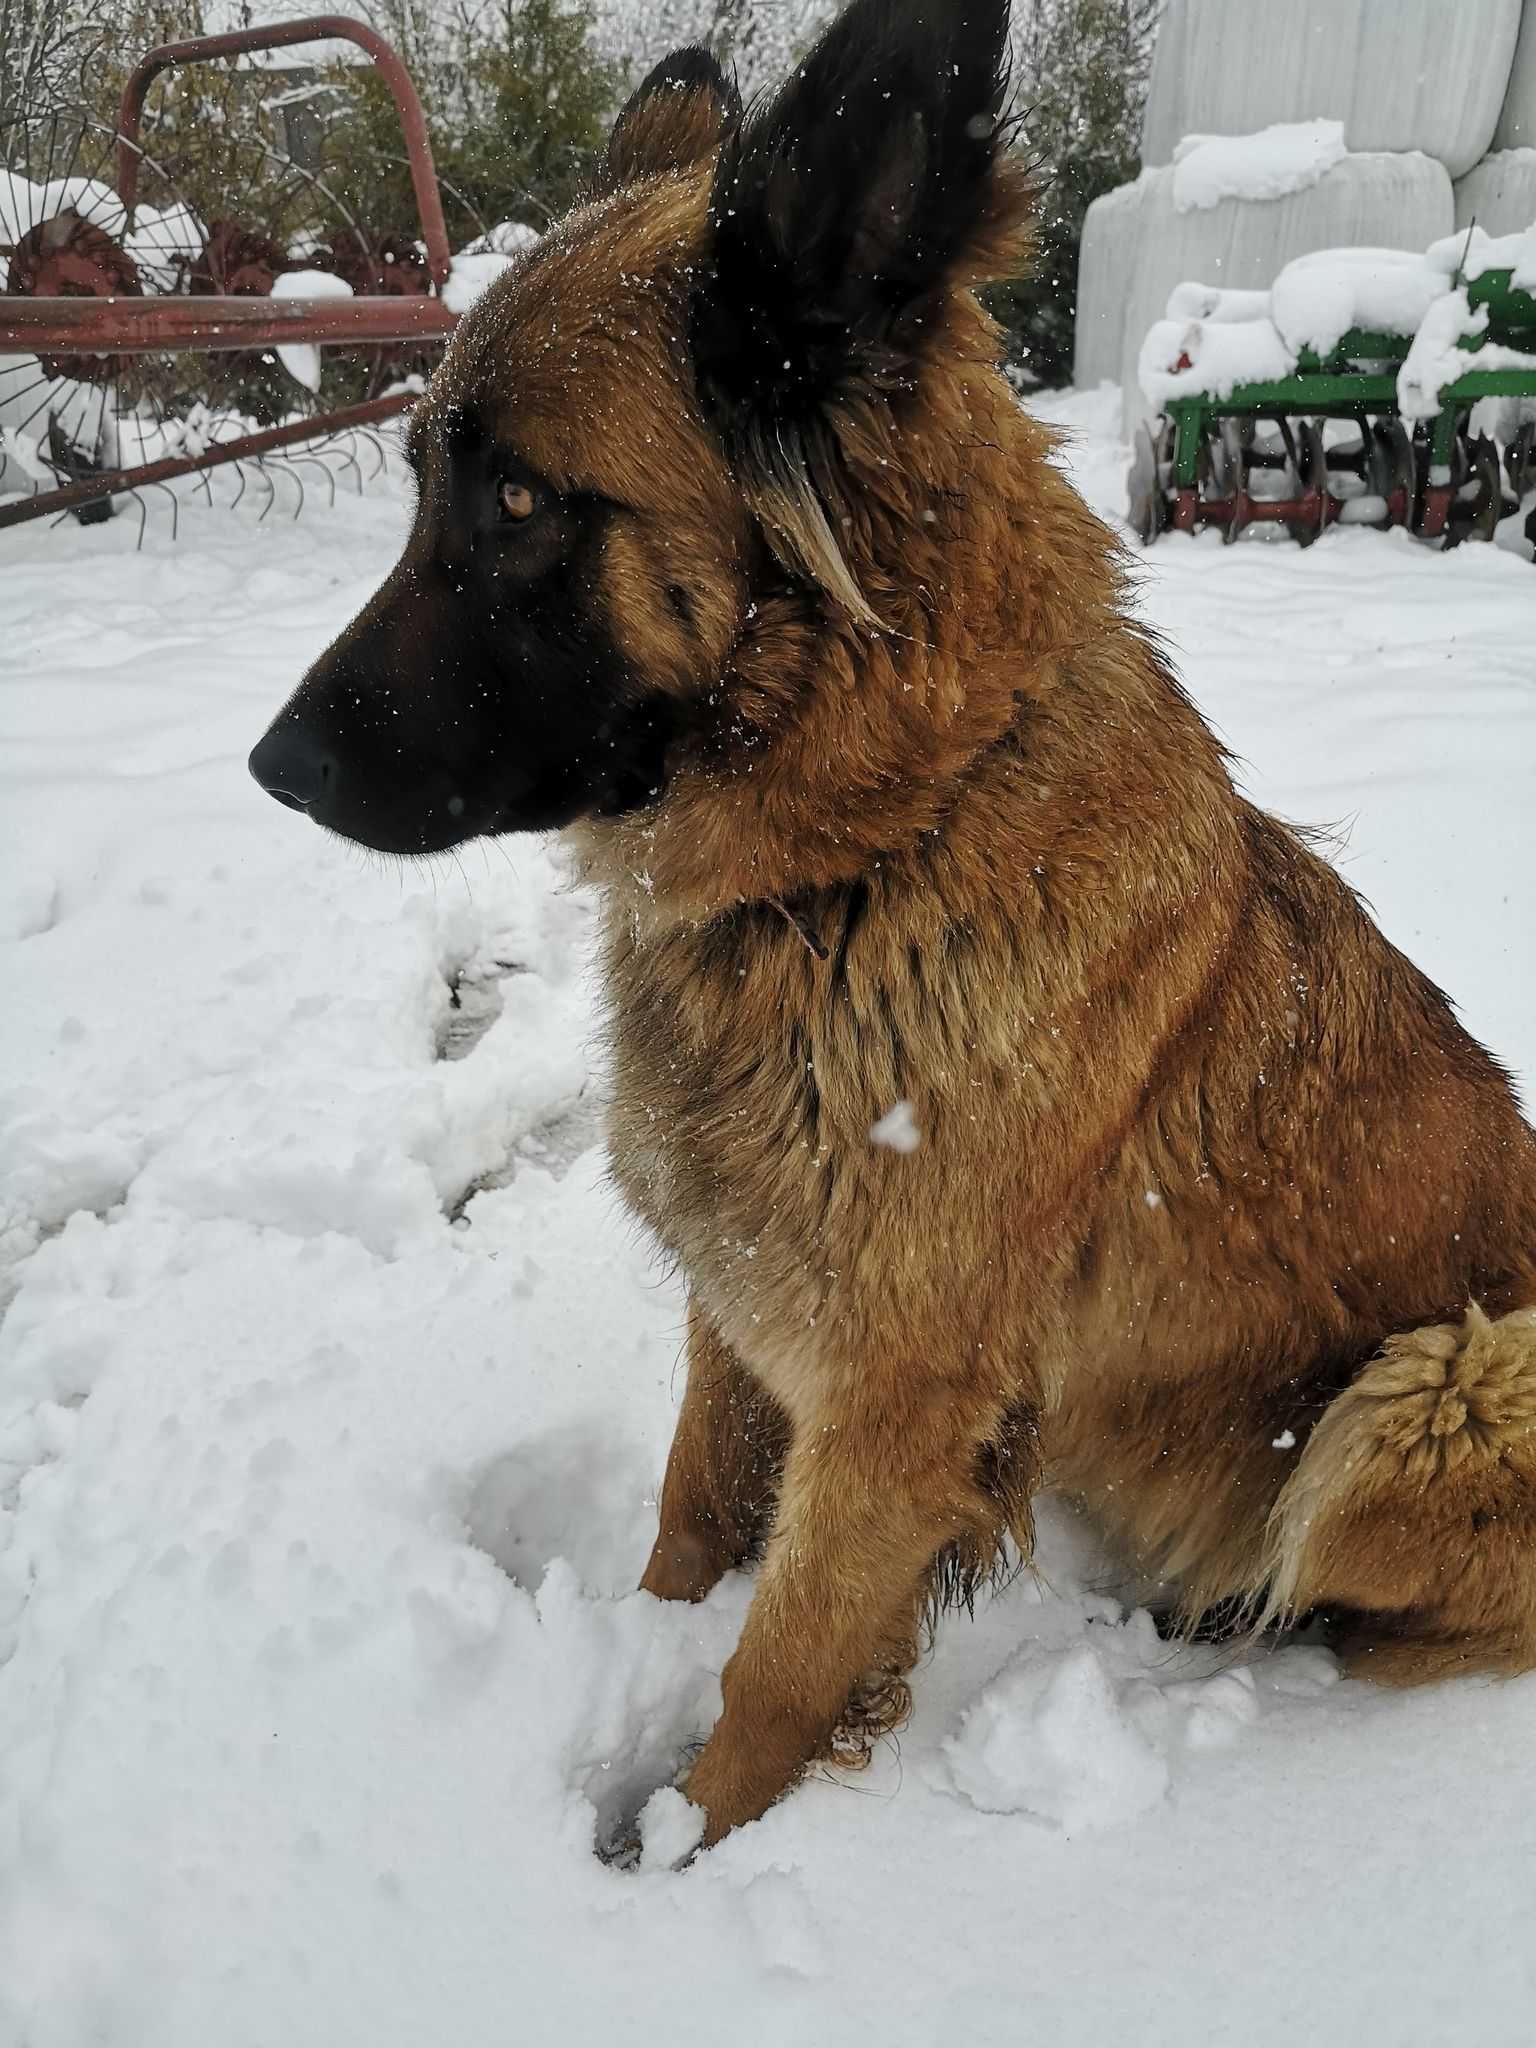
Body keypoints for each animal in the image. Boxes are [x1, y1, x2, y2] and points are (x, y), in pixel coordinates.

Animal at [252, 0, 1536, 1843]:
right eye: (430, 476)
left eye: (521, 506)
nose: (269, 767)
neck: (869, 855)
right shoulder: (747, 1309)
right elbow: (690, 1518)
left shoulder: (892, 1406)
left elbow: (778, 1665)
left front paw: (680, 1854)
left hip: (1434, 1389)